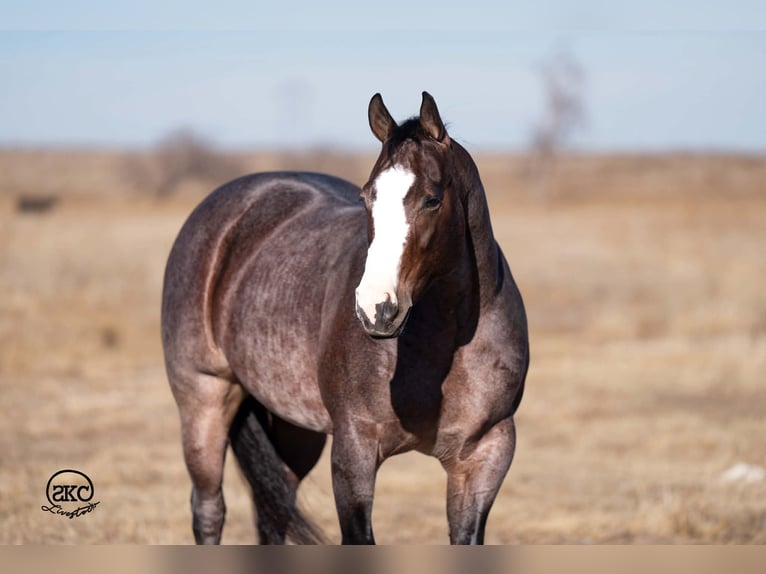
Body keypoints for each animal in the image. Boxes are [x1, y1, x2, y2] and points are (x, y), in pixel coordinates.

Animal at [161, 92, 529, 544]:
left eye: (432, 199)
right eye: (366, 198)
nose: (376, 308)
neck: (448, 342)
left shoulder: (485, 454)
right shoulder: (355, 450)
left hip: (296, 429)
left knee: (273, 514)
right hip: (204, 399)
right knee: (209, 509)